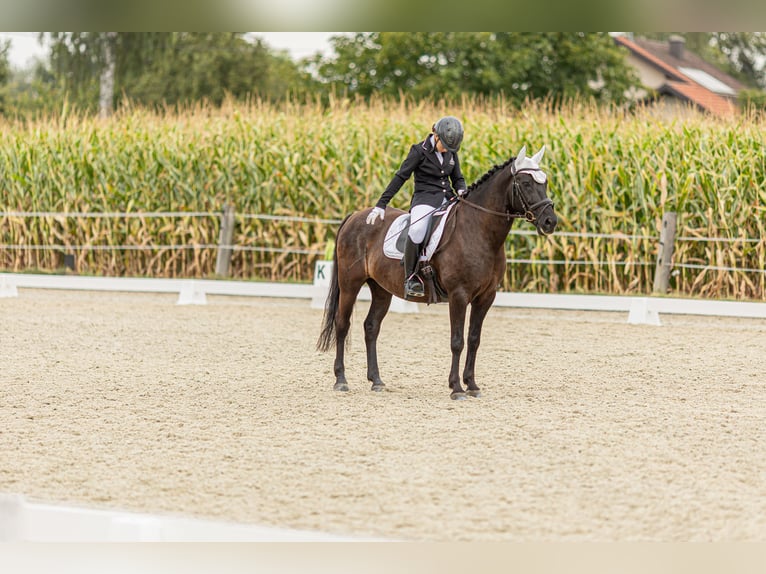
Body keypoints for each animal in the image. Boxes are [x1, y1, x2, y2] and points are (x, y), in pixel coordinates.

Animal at [318, 145, 560, 400]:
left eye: (545, 182)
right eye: (525, 183)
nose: (550, 221)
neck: (479, 231)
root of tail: (355, 216)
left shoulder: (486, 297)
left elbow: (474, 339)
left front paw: (472, 385)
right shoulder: (459, 295)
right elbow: (457, 341)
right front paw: (456, 388)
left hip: (381, 289)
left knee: (371, 327)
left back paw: (376, 381)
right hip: (350, 284)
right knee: (342, 324)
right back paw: (341, 380)